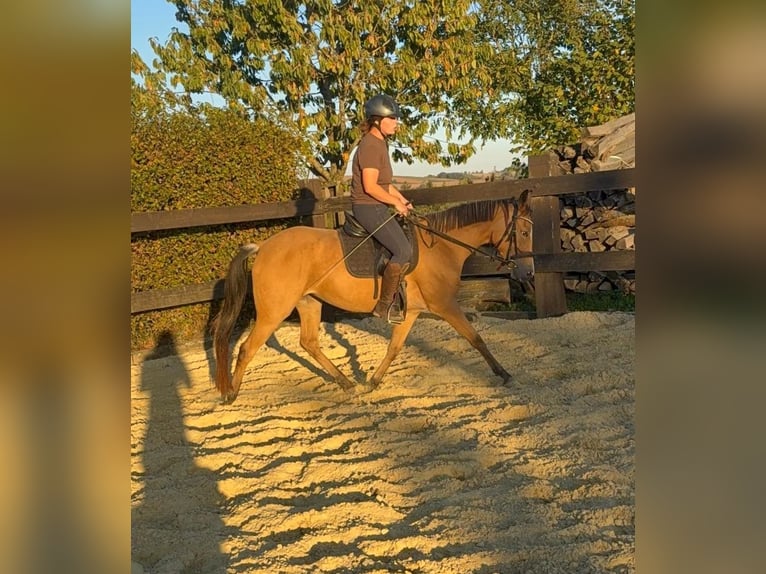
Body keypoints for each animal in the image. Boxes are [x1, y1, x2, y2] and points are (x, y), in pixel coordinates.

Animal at [211, 190, 534, 403]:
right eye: (524, 232)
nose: (528, 273)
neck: (440, 246)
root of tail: (263, 247)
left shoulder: (412, 311)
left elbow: (394, 348)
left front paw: (374, 382)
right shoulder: (445, 305)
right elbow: (476, 338)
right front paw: (504, 373)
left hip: (308, 302)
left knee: (309, 343)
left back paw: (346, 383)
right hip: (274, 311)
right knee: (247, 348)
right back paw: (231, 394)